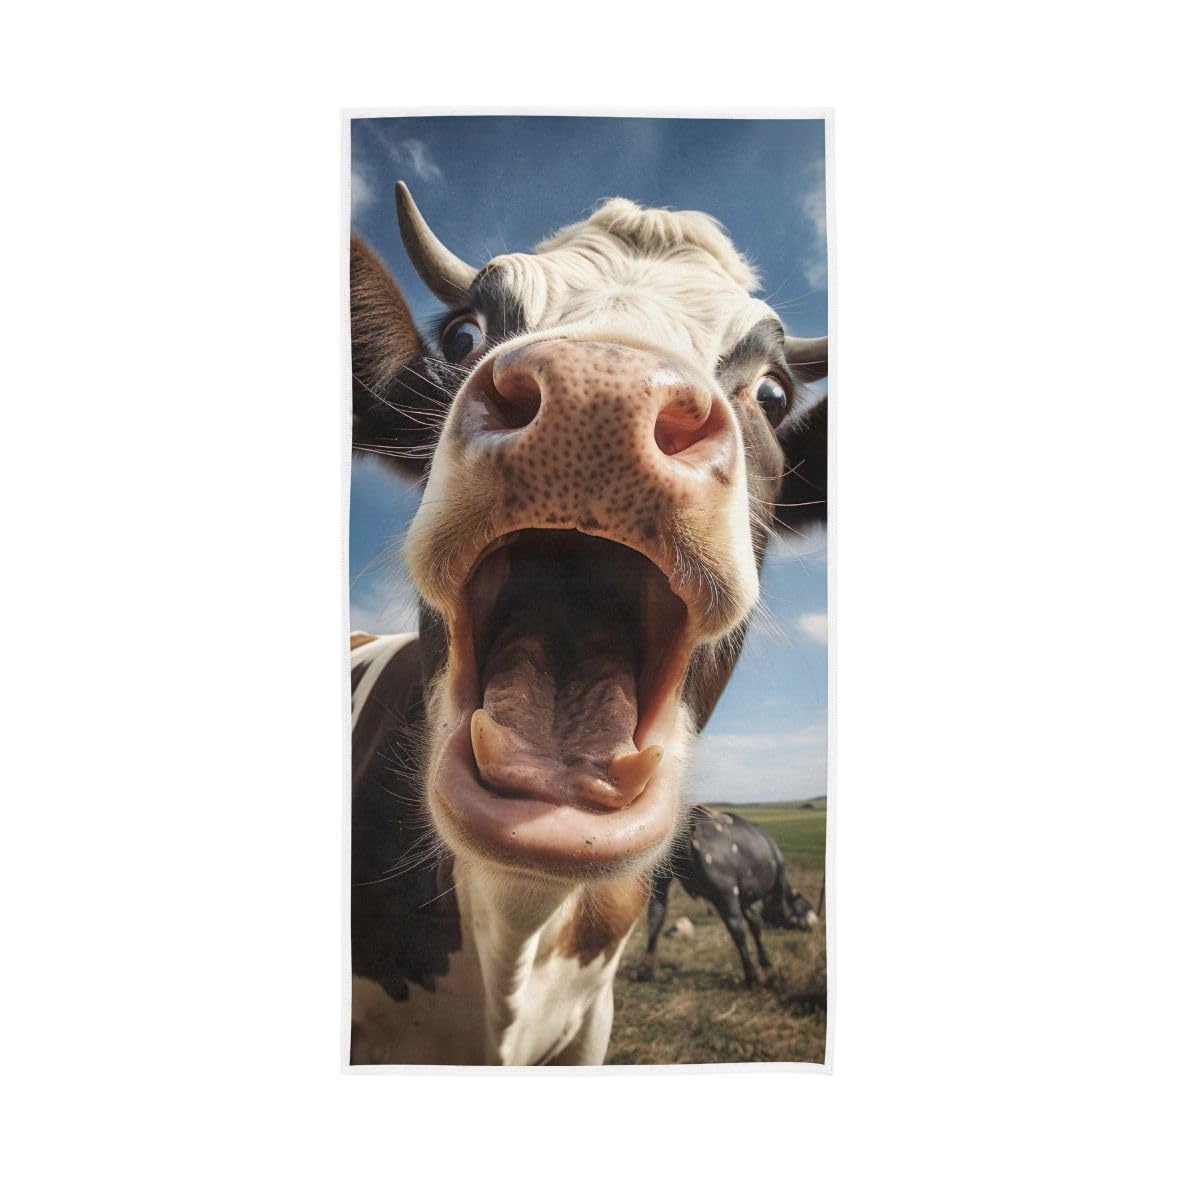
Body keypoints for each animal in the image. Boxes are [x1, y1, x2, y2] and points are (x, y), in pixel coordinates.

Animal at [638, 806, 819, 989]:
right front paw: (765, 966)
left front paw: (766, 964)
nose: (815, 923)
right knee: (736, 927)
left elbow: (755, 924)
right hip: (726, 891)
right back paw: (751, 976)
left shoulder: (746, 898)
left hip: (660, 879)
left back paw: (646, 971)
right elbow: (754, 925)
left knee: (656, 915)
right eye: (806, 905)